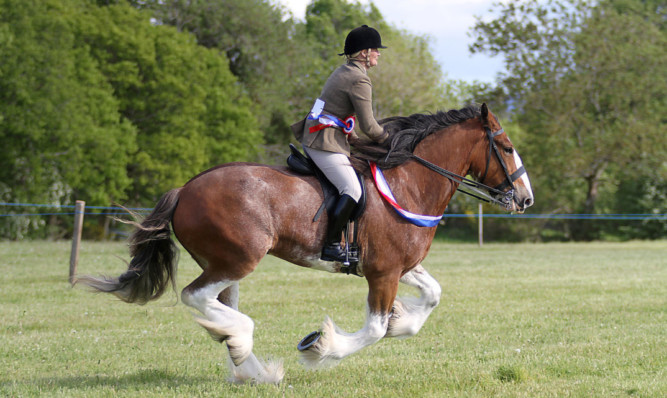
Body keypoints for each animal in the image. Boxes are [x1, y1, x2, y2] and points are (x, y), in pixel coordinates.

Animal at [77, 104, 532, 384]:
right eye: (507, 148)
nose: (526, 200)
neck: (409, 182)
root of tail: (184, 189)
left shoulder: (401, 266)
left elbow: (432, 296)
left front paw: (403, 319)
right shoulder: (383, 273)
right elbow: (372, 330)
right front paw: (321, 347)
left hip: (225, 263)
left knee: (219, 304)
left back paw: (249, 364)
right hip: (239, 259)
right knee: (196, 296)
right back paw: (244, 345)